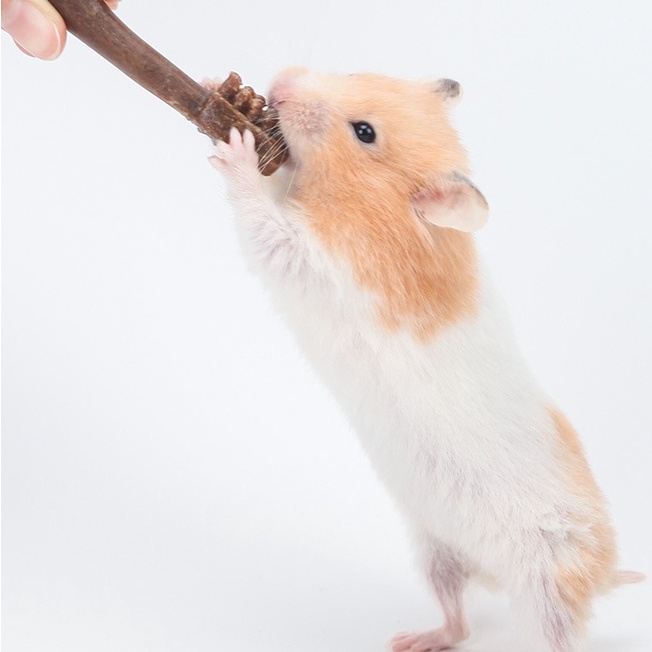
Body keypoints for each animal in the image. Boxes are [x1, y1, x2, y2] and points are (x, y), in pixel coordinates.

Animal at [209, 67, 643, 652]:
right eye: (358, 75)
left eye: (365, 132)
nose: (281, 81)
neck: (376, 206)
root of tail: (604, 573)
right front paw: (219, 88)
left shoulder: (314, 260)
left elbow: (265, 221)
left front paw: (234, 149)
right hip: (436, 550)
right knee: (458, 617)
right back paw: (415, 640)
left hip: (548, 583)